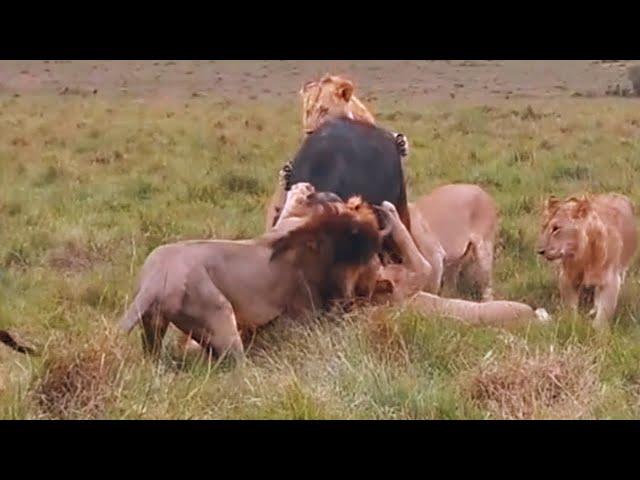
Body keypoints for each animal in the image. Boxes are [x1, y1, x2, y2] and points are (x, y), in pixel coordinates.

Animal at [122, 189, 388, 362]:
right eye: (355, 240)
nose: (350, 297)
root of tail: (155, 278)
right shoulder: (302, 316)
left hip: (155, 325)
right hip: (220, 316)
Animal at [536, 193, 636, 328]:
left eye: (556, 228)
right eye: (544, 227)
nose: (540, 251)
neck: (583, 257)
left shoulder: (611, 280)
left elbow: (604, 312)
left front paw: (598, 330)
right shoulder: (566, 278)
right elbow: (570, 307)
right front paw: (571, 323)